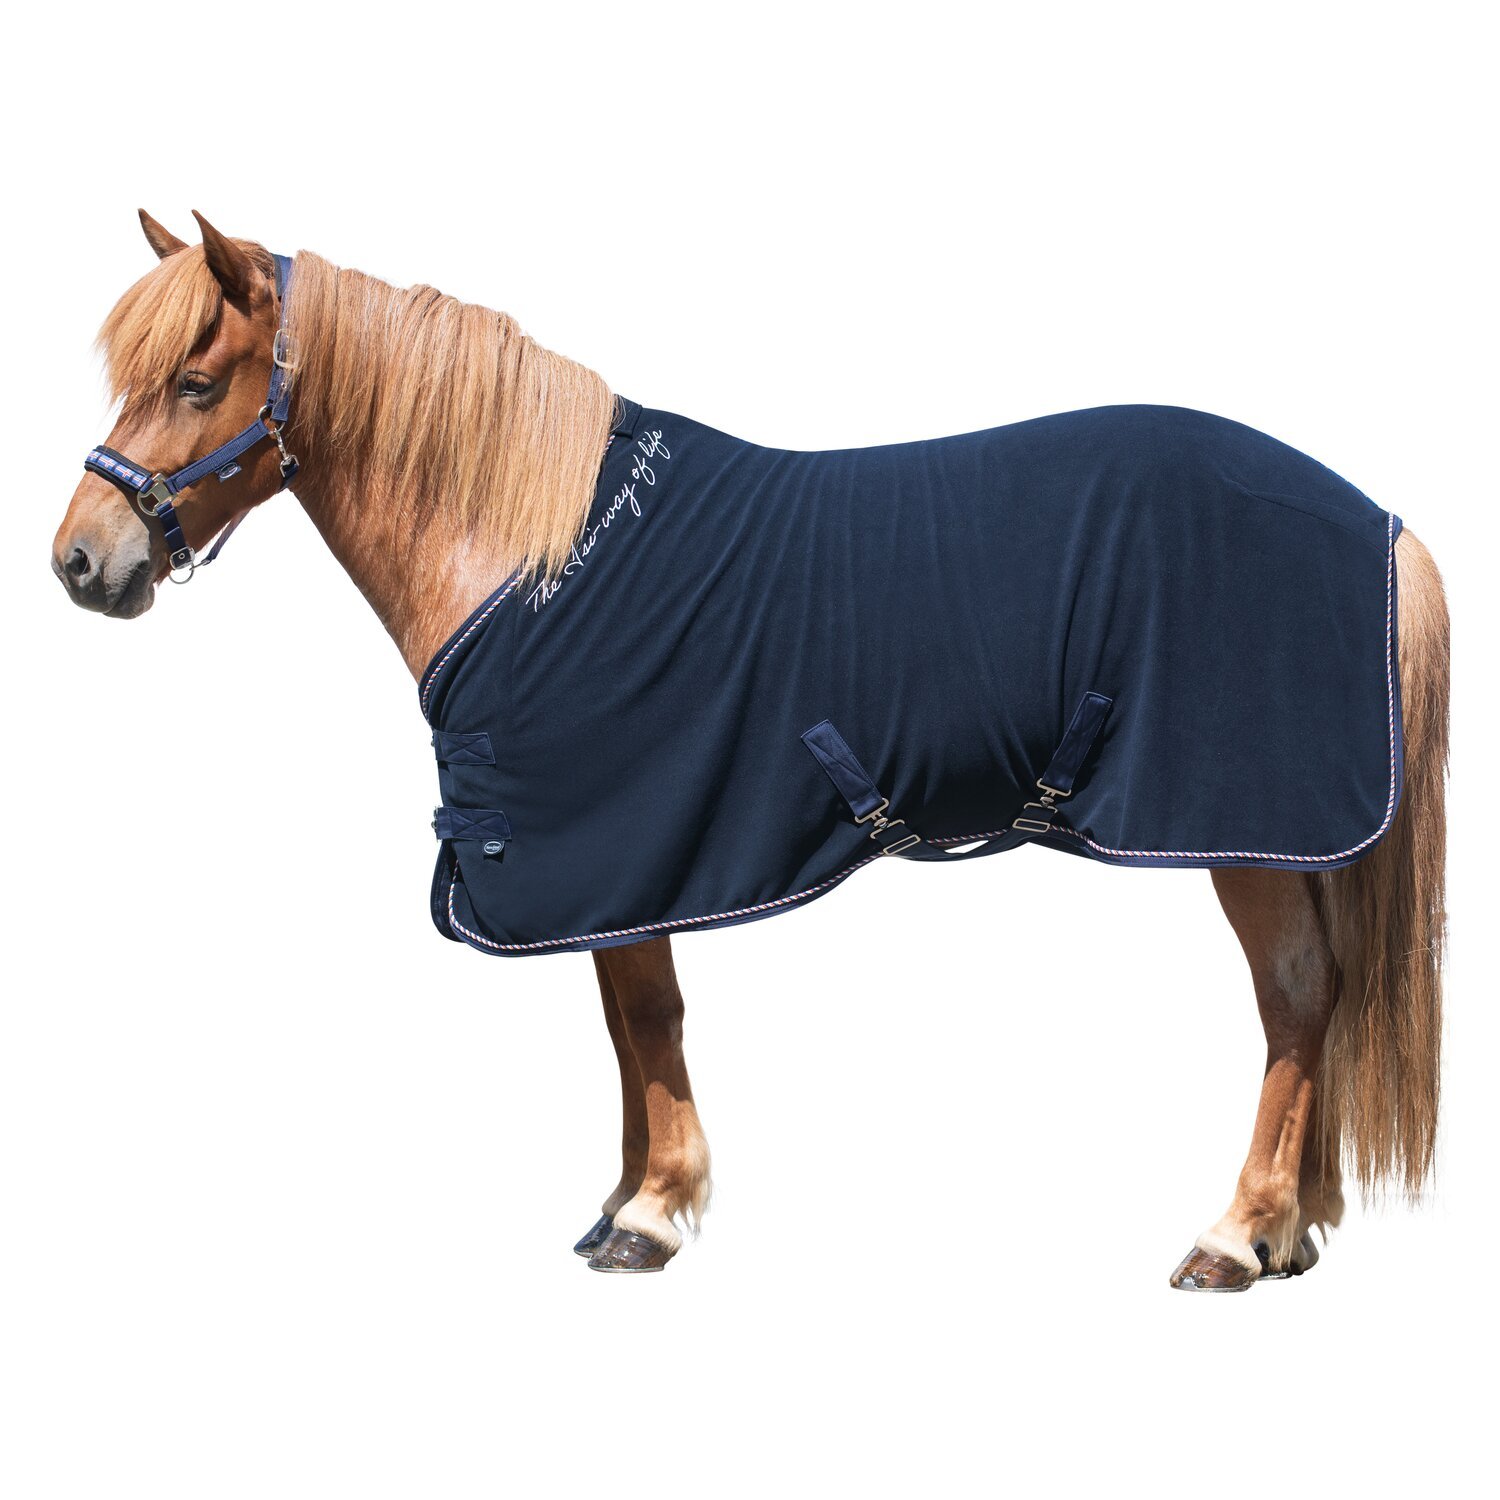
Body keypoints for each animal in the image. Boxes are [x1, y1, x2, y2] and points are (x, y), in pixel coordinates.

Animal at [52, 210, 1449, 1285]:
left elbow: (650, 1016)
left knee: (1295, 998)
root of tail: (1381, 528)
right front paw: (621, 1201)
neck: (536, 558)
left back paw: (1239, 1235)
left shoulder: (622, 847)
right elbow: (625, 1025)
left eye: (194, 384)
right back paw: (1295, 1233)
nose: (78, 562)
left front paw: (652, 1215)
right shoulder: (610, 868)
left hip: (1242, 828)